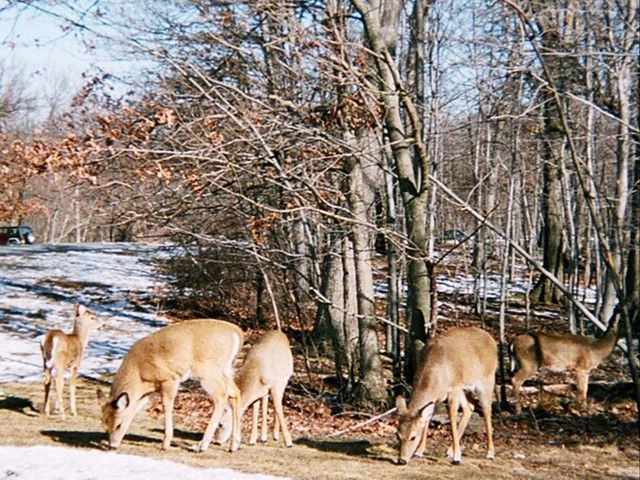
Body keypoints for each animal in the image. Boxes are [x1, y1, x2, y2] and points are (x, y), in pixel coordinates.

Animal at [97, 319, 244, 452]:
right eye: (104, 425)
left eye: (118, 425)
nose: (112, 447)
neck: (138, 371)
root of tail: (236, 332)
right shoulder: (150, 391)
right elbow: (135, 408)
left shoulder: (169, 379)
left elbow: (166, 406)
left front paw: (166, 443)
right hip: (224, 370)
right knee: (234, 392)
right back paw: (233, 445)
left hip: (207, 372)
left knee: (221, 395)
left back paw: (202, 446)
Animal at [395, 326, 497, 466]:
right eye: (397, 434)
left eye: (413, 437)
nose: (402, 460)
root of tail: (492, 339)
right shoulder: (439, 396)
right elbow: (428, 418)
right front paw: (419, 451)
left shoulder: (453, 390)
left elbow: (452, 417)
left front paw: (457, 457)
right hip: (465, 388)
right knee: (469, 408)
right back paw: (449, 450)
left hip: (487, 380)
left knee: (487, 410)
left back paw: (490, 453)